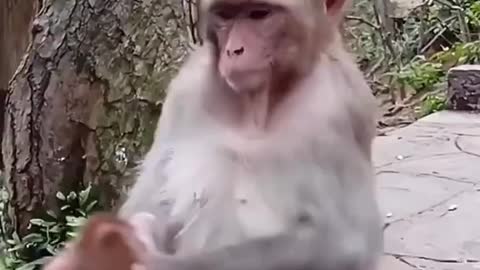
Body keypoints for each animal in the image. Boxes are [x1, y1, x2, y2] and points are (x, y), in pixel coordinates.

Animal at [44, 0, 382, 268]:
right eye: (226, 15)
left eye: (259, 14)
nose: (234, 50)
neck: (259, 105)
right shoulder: (186, 88)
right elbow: (149, 206)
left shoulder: (339, 107)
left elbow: (342, 244)